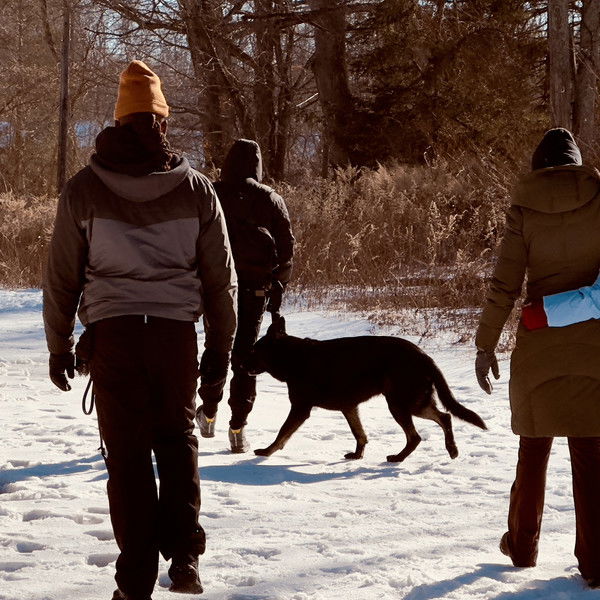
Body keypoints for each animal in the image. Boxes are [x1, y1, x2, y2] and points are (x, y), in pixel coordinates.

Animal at [245, 316, 486, 462]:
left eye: (254, 351)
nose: (240, 364)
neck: (291, 357)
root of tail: (425, 357)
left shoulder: (300, 407)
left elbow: (282, 432)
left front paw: (266, 452)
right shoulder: (349, 407)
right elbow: (359, 433)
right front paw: (357, 454)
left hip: (402, 403)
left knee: (419, 434)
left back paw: (400, 457)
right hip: (413, 401)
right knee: (444, 417)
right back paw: (451, 449)